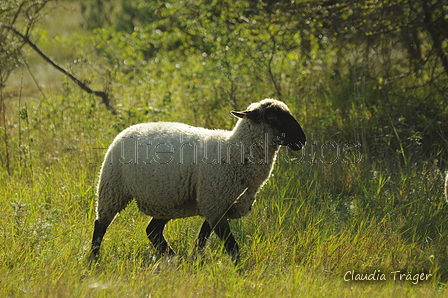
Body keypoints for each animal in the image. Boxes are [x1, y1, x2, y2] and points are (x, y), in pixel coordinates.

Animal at [90, 99, 308, 264]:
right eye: (271, 117)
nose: (302, 139)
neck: (235, 151)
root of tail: (128, 129)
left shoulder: (214, 207)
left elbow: (201, 241)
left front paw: (195, 262)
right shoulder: (215, 206)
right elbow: (232, 247)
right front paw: (241, 273)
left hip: (168, 201)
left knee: (153, 231)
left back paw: (172, 258)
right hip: (112, 187)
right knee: (100, 225)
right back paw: (93, 260)